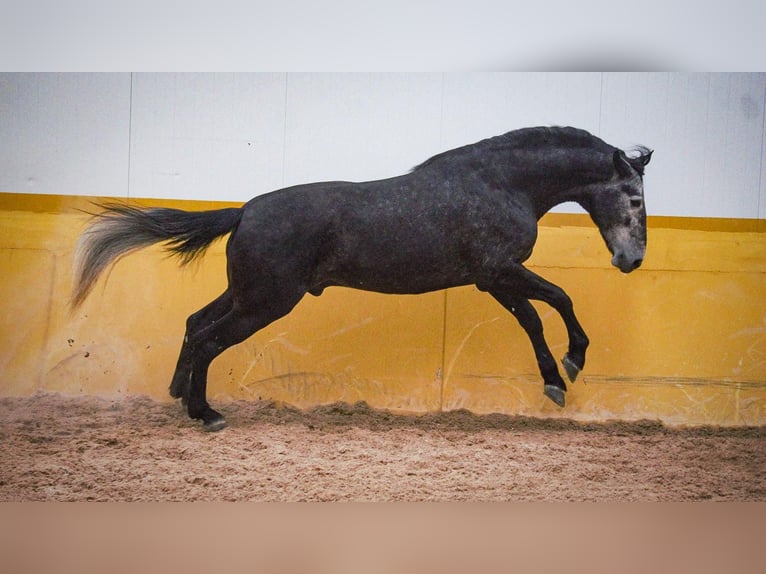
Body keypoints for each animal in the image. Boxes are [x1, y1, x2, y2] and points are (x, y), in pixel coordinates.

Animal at [73, 126, 656, 432]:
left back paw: (179, 395)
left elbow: (534, 319)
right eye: (634, 198)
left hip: (248, 294)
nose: (631, 261)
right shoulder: (498, 271)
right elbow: (559, 297)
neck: (500, 184)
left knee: (196, 325)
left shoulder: (492, 279)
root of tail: (244, 212)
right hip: (265, 302)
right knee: (209, 339)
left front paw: (555, 380)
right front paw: (573, 361)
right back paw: (205, 412)